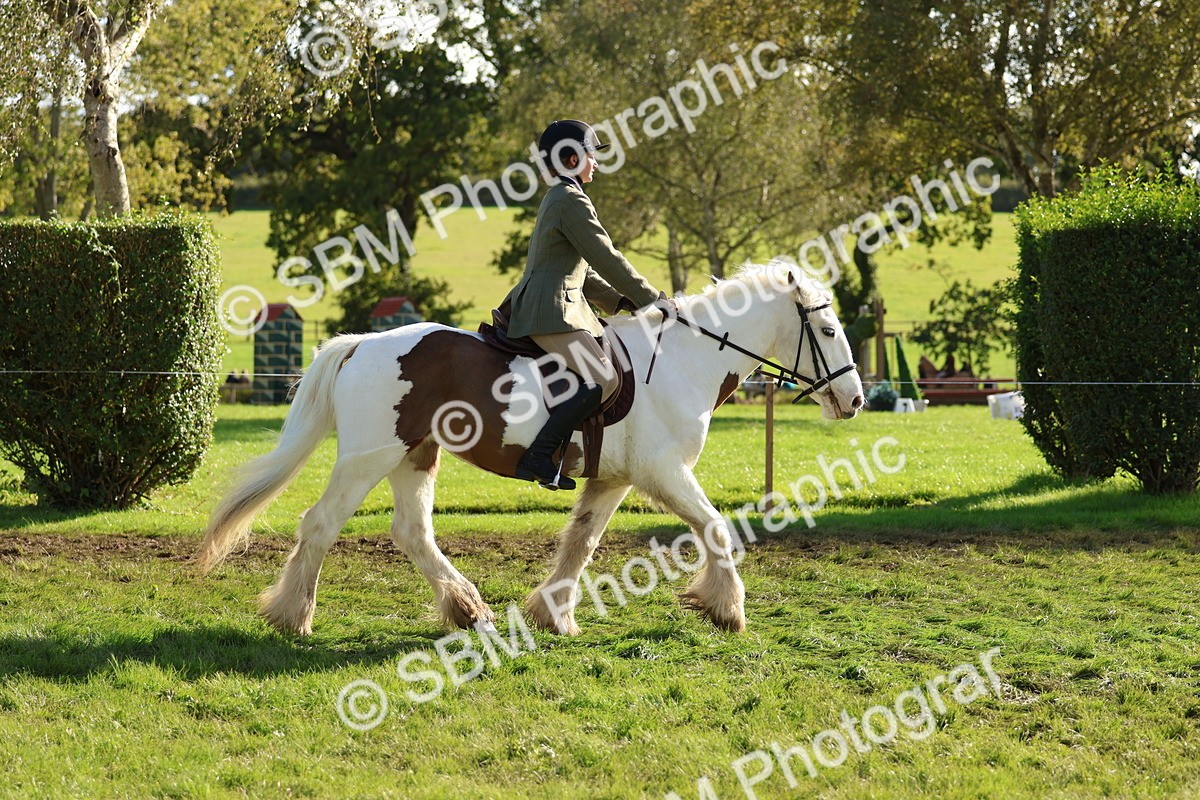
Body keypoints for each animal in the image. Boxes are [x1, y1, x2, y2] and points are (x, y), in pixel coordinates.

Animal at [195, 261, 864, 636]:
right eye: (829, 330)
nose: (855, 399)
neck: (685, 357)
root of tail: (362, 342)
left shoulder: (614, 479)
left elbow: (581, 543)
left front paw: (553, 614)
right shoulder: (665, 472)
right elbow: (716, 527)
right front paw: (726, 609)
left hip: (416, 456)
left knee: (412, 532)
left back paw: (468, 610)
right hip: (370, 457)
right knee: (321, 524)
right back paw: (293, 615)